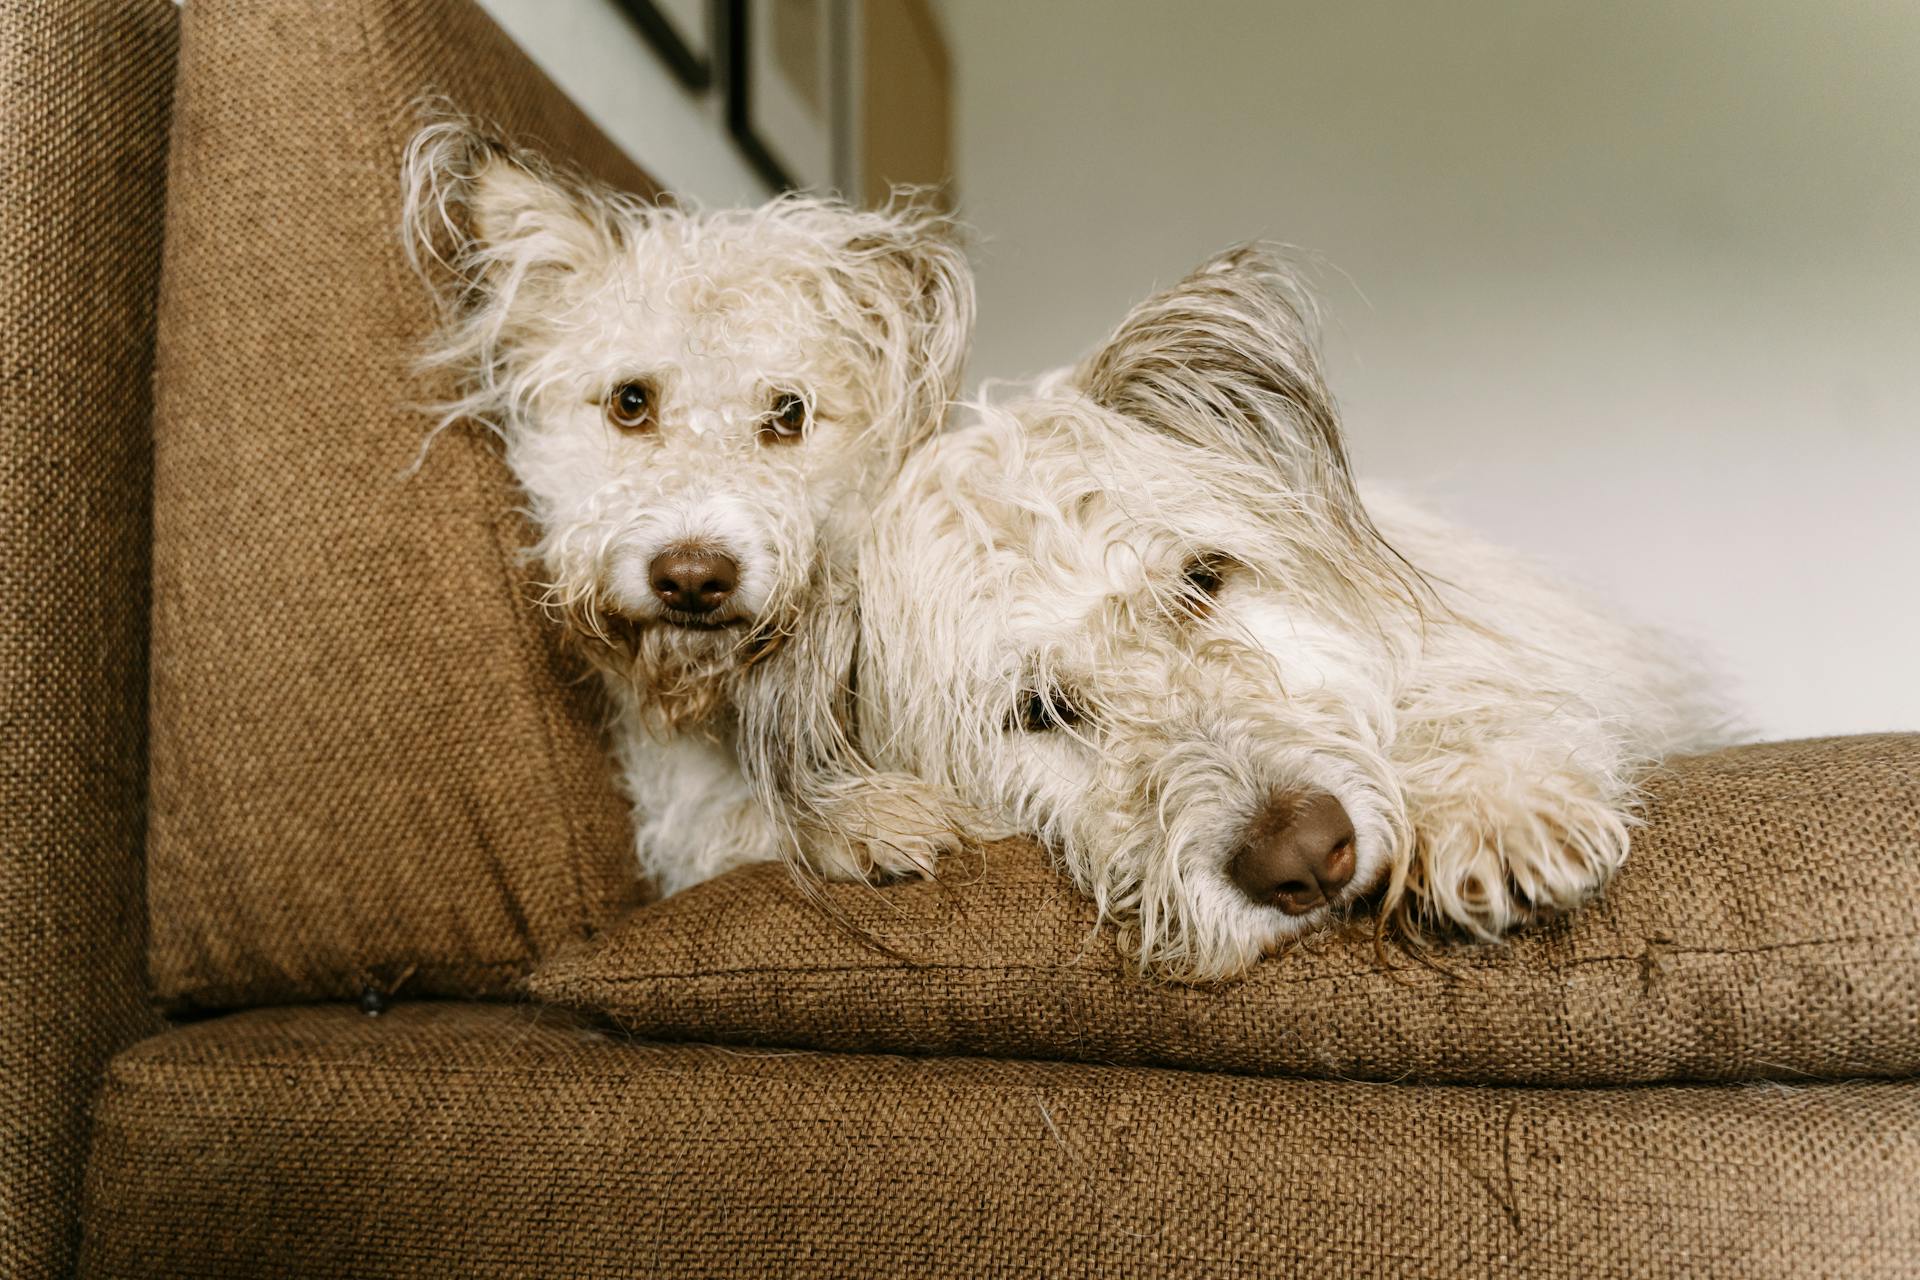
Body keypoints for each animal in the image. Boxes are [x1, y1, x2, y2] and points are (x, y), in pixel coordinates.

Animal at [407, 124, 975, 898]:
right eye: (630, 401)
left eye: (790, 412)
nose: (692, 579)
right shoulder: (681, 816)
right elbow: (746, 821)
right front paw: (854, 818)